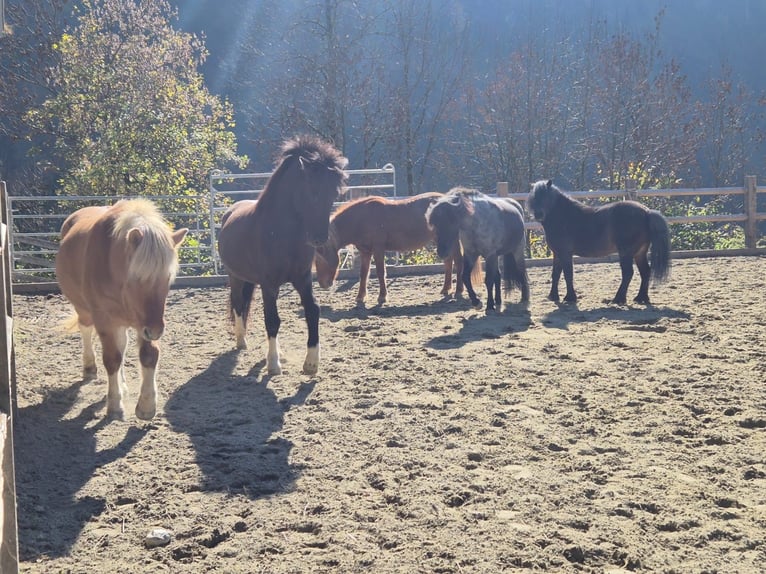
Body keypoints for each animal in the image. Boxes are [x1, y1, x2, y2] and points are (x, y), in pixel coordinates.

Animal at [55, 198, 188, 420]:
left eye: (167, 278)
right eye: (136, 277)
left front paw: (146, 405)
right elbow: (111, 359)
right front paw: (115, 404)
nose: (156, 330)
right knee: (87, 330)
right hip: (85, 310)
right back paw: (90, 367)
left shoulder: (143, 322)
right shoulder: (105, 320)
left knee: (122, 345)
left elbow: (148, 355)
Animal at [217, 135, 348, 376]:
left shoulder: (302, 278)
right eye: (312, 191)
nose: (319, 238)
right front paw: (273, 364)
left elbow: (312, 311)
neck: (280, 233)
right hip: (236, 277)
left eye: (333, 194)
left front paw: (311, 363)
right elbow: (272, 320)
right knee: (239, 304)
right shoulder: (269, 283)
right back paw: (242, 342)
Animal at [313, 193, 464, 306]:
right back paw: (446, 289)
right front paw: (360, 297)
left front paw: (382, 297)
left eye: (321, 253)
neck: (361, 218)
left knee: (458, 261)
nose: (323, 284)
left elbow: (381, 272)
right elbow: (363, 274)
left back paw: (458, 291)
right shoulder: (365, 252)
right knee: (448, 262)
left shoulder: (378, 249)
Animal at [527, 179, 671, 304]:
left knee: (628, 273)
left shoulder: (565, 253)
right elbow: (555, 274)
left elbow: (568, 274)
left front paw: (570, 297)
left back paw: (618, 299)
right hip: (639, 253)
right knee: (645, 272)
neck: (564, 217)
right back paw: (641, 298)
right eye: (534, 197)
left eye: (546, 197)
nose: (539, 214)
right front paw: (553, 296)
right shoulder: (557, 254)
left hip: (626, 252)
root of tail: (647, 212)